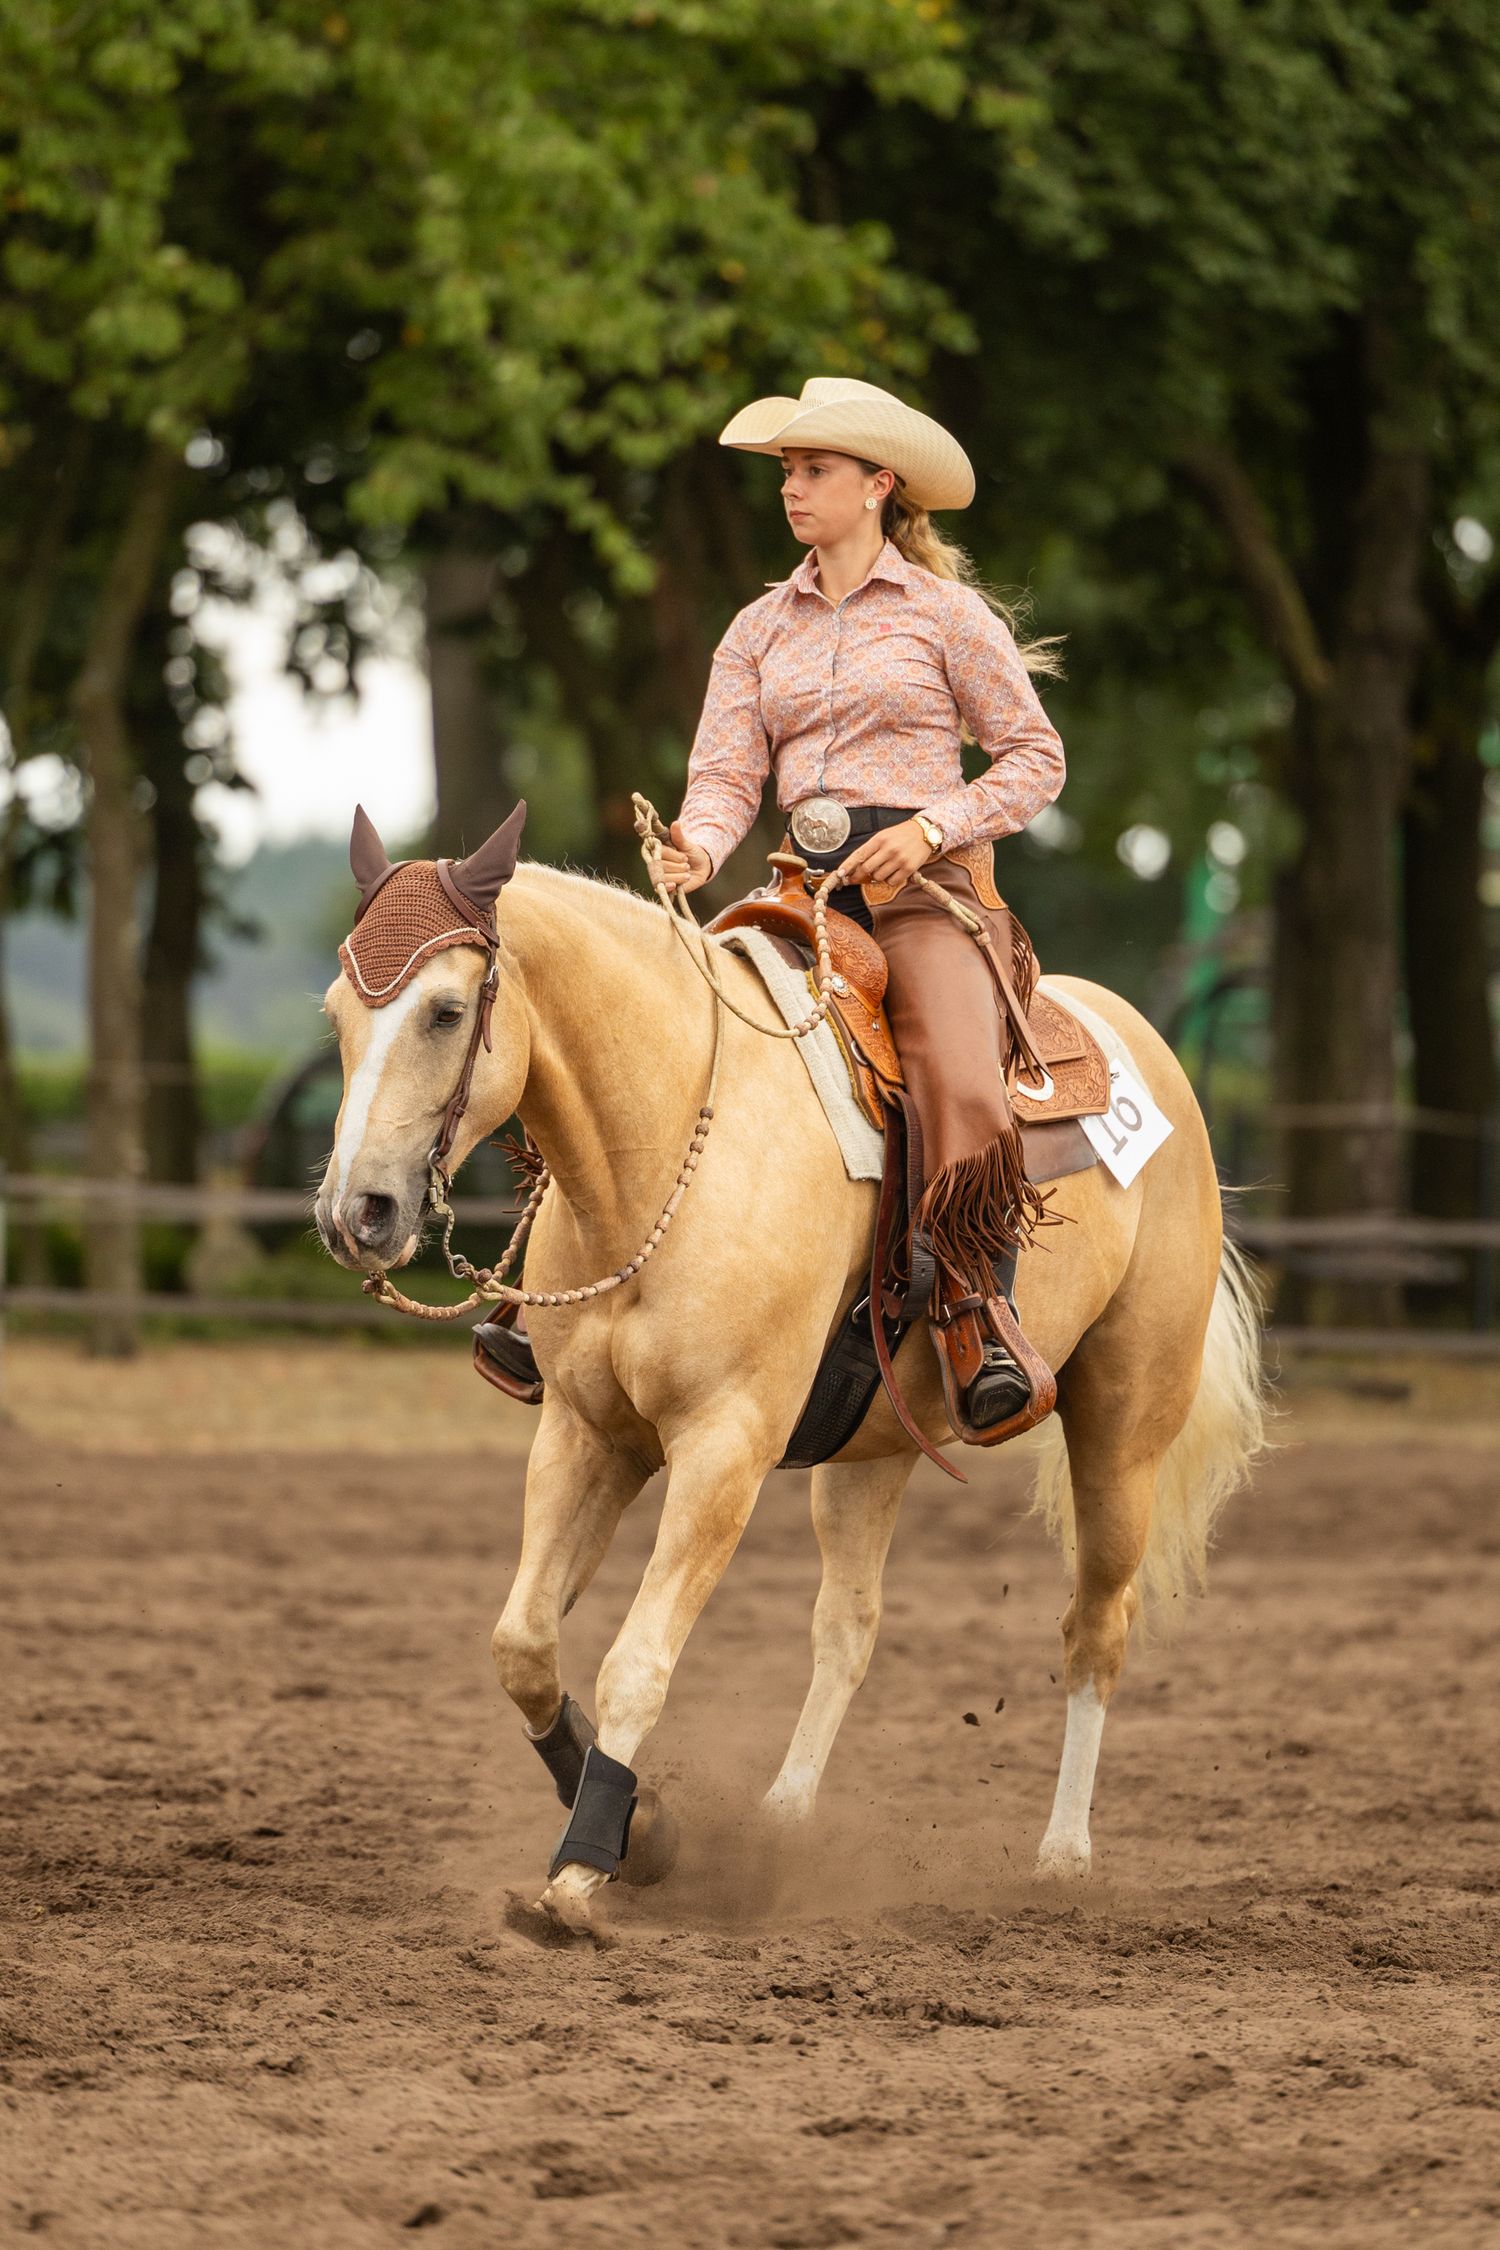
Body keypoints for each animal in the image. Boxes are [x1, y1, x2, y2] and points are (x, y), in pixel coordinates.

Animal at [315, 821, 1265, 1936]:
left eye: (446, 1010)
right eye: (336, 1014)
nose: (355, 1213)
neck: (664, 1151)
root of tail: (1150, 1054)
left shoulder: (723, 1449)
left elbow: (637, 1662)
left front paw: (585, 1870)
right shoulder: (589, 1434)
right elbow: (525, 1644)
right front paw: (647, 1832)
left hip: (1122, 1432)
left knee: (1094, 1629)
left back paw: (1063, 1856)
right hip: (874, 1452)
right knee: (847, 1630)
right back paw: (782, 1823)